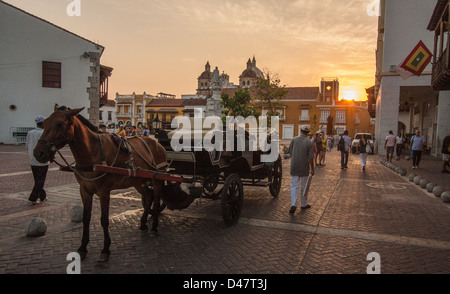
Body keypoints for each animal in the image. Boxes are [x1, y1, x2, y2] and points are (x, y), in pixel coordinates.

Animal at [33, 104, 167, 260]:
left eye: (59, 124)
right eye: (45, 123)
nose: (38, 153)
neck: (93, 151)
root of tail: (157, 143)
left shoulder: (104, 191)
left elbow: (104, 219)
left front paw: (105, 249)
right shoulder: (84, 190)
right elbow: (86, 218)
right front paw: (83, 247)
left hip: (157, 178)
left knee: (156, 200)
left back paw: (154, 226)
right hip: (138, 181)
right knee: (149, 196)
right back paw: (144, 222)